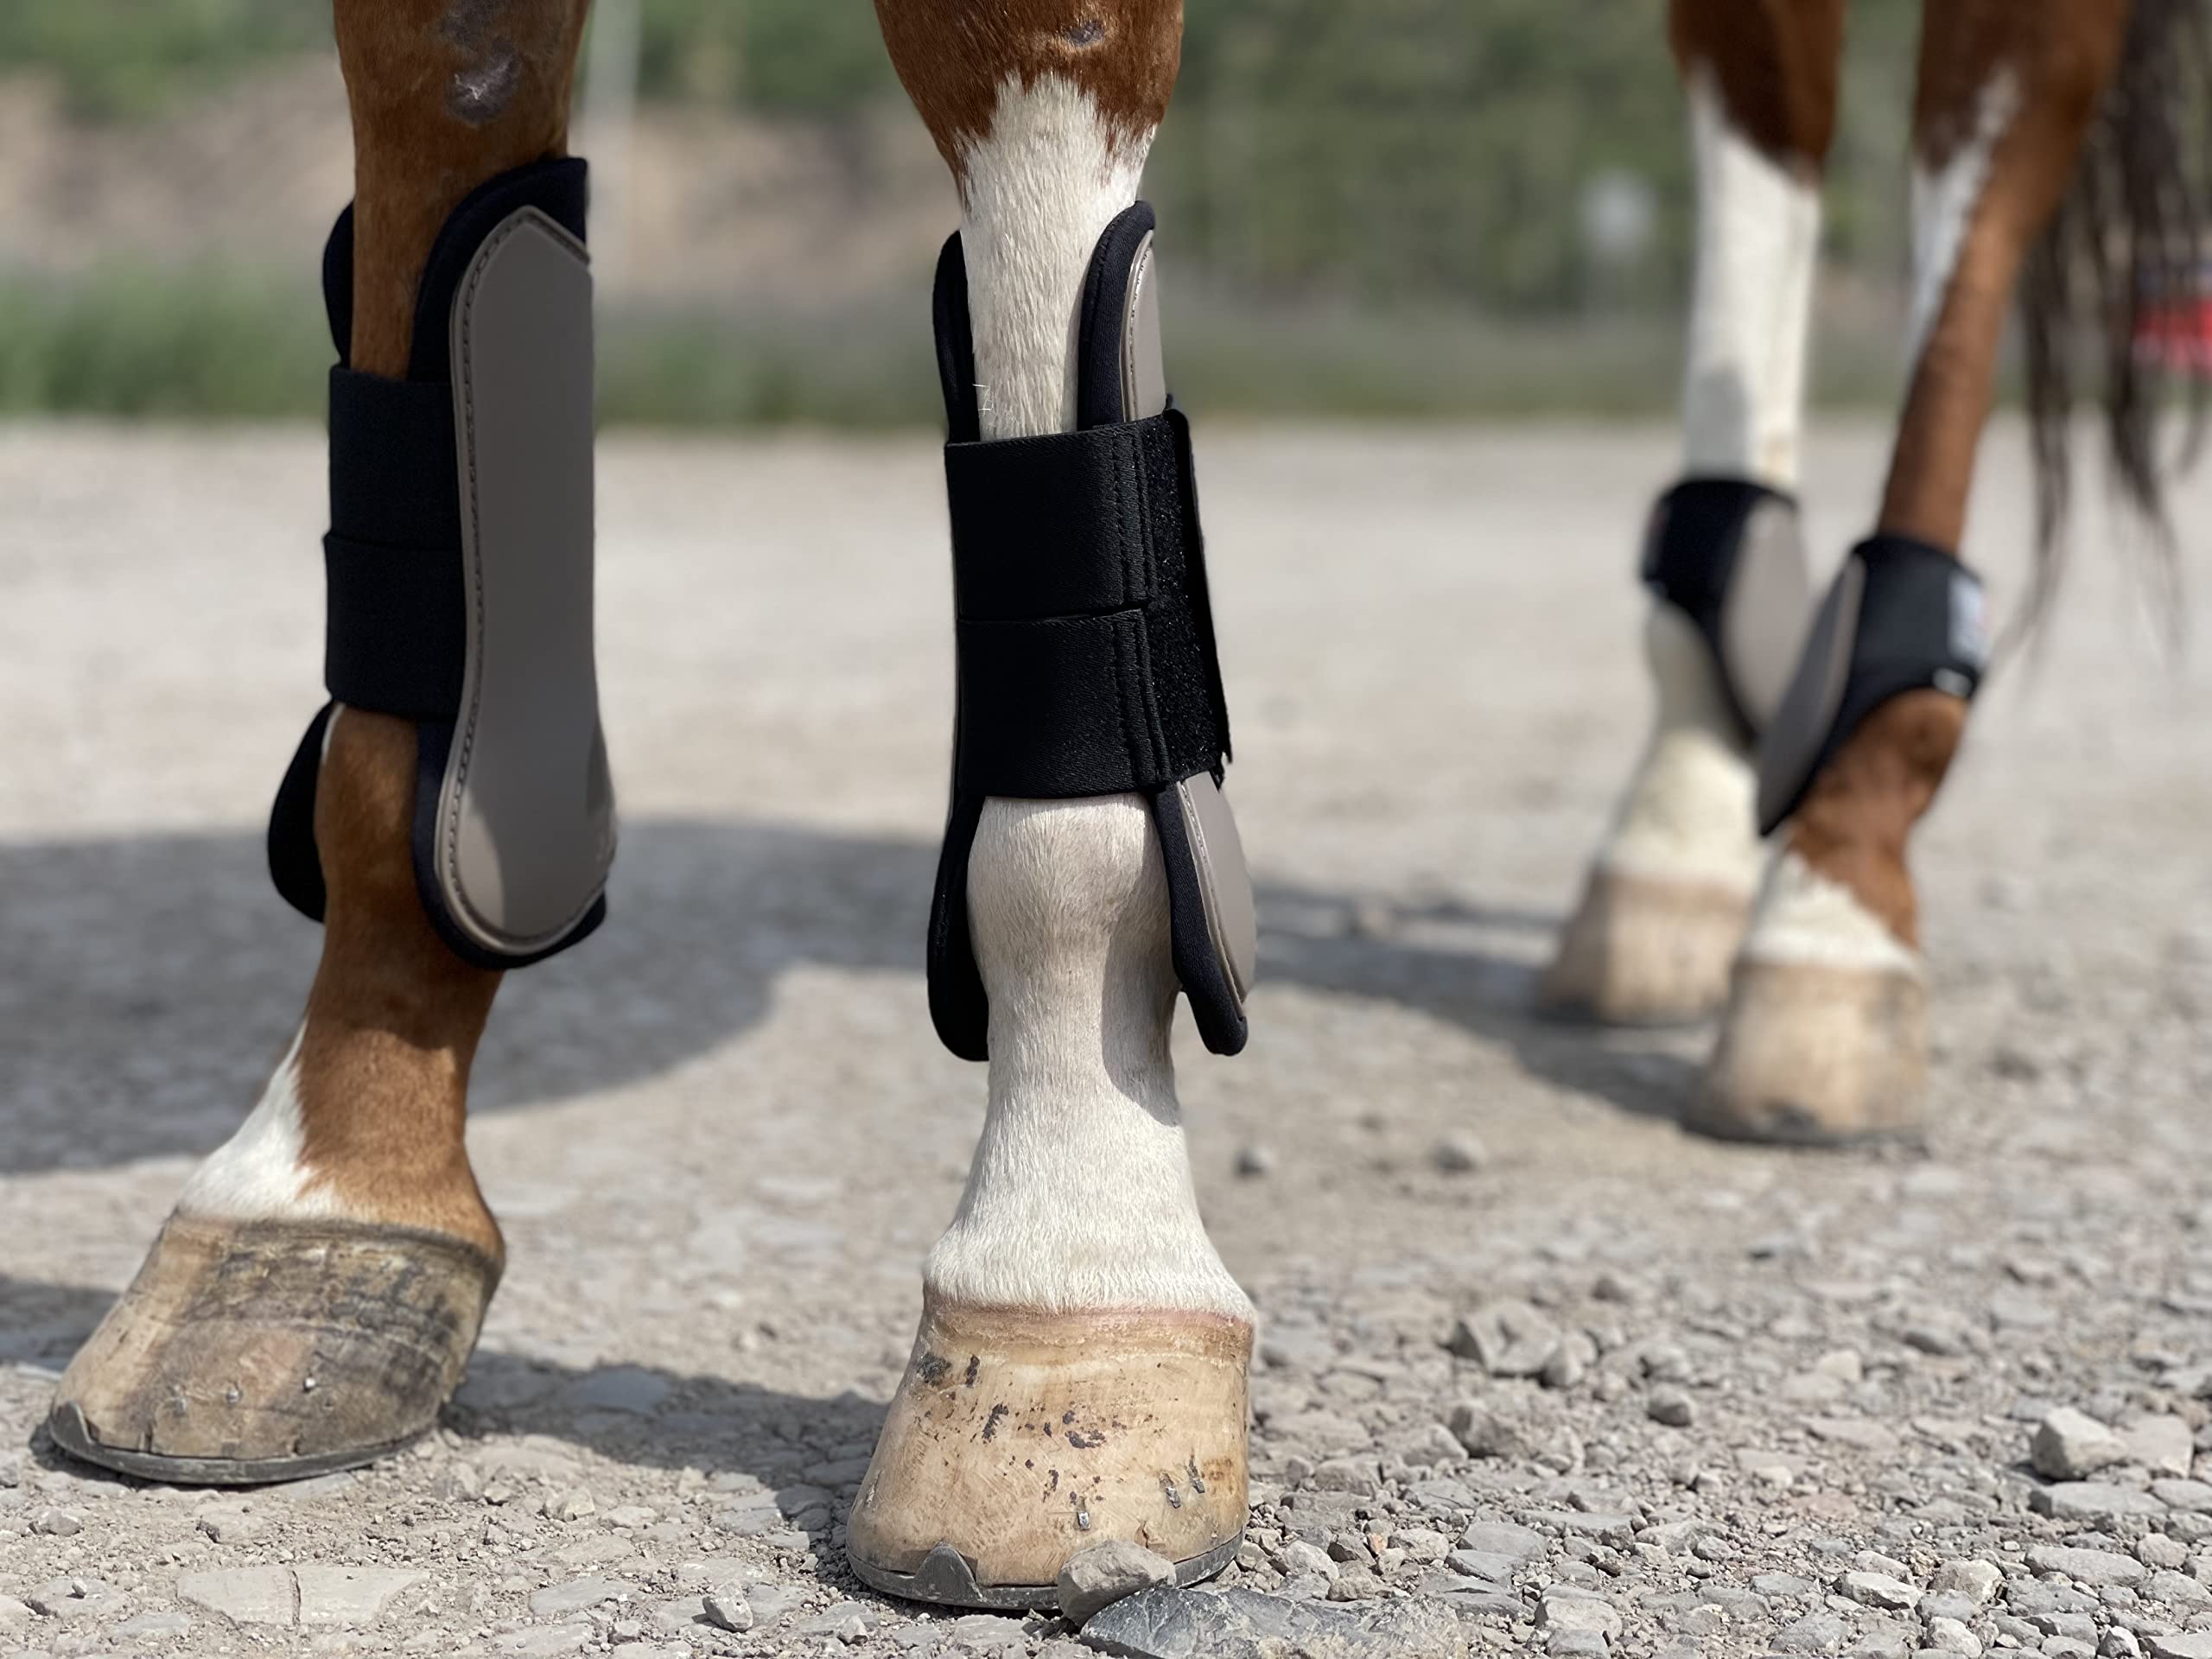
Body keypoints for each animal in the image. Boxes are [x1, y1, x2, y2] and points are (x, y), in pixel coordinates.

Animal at [38, 0, 2197, 1615]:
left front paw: (1068, 1269)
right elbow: (448, 184)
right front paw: (320, 1198)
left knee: (1988, 124)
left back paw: (1831, 895)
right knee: (1771, 100)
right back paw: (1671, 847)